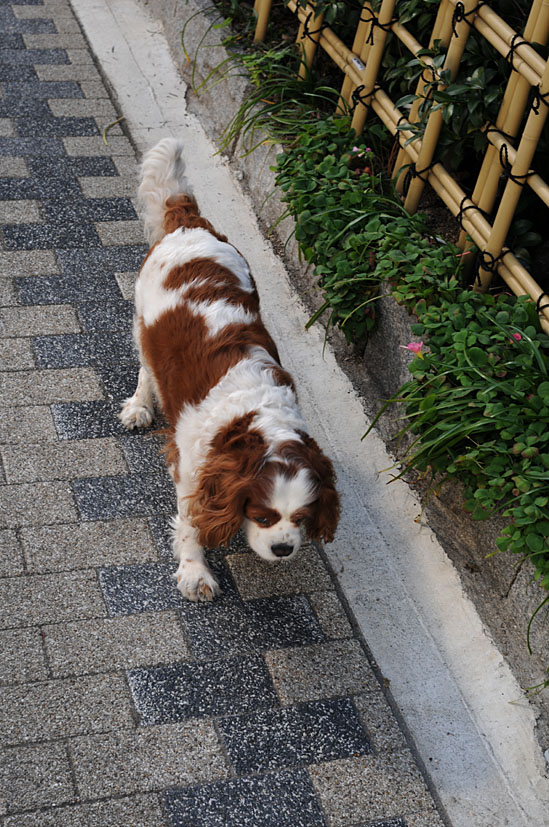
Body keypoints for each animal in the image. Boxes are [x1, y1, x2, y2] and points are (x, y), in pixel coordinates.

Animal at [120, 136, 338, 600]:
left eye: (301, 518)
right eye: (263, 515)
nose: (283, 550)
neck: (254, 421)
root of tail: (191, 222)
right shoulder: (192, 468)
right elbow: (191, 523)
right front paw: (195, 572)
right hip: (143, 322)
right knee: (147, 369)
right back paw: (139, 407)